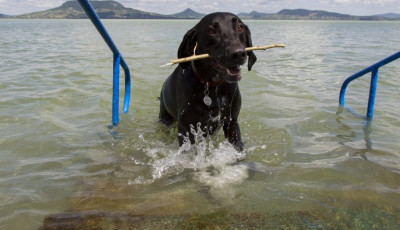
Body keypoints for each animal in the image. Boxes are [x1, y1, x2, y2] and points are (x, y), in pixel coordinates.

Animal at [159, 13, 256, 152]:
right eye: (211, 31)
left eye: (240, 28)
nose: (238, 53)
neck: (213, 87)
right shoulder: (186, 128)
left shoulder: (231, 122)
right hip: (164, 116)